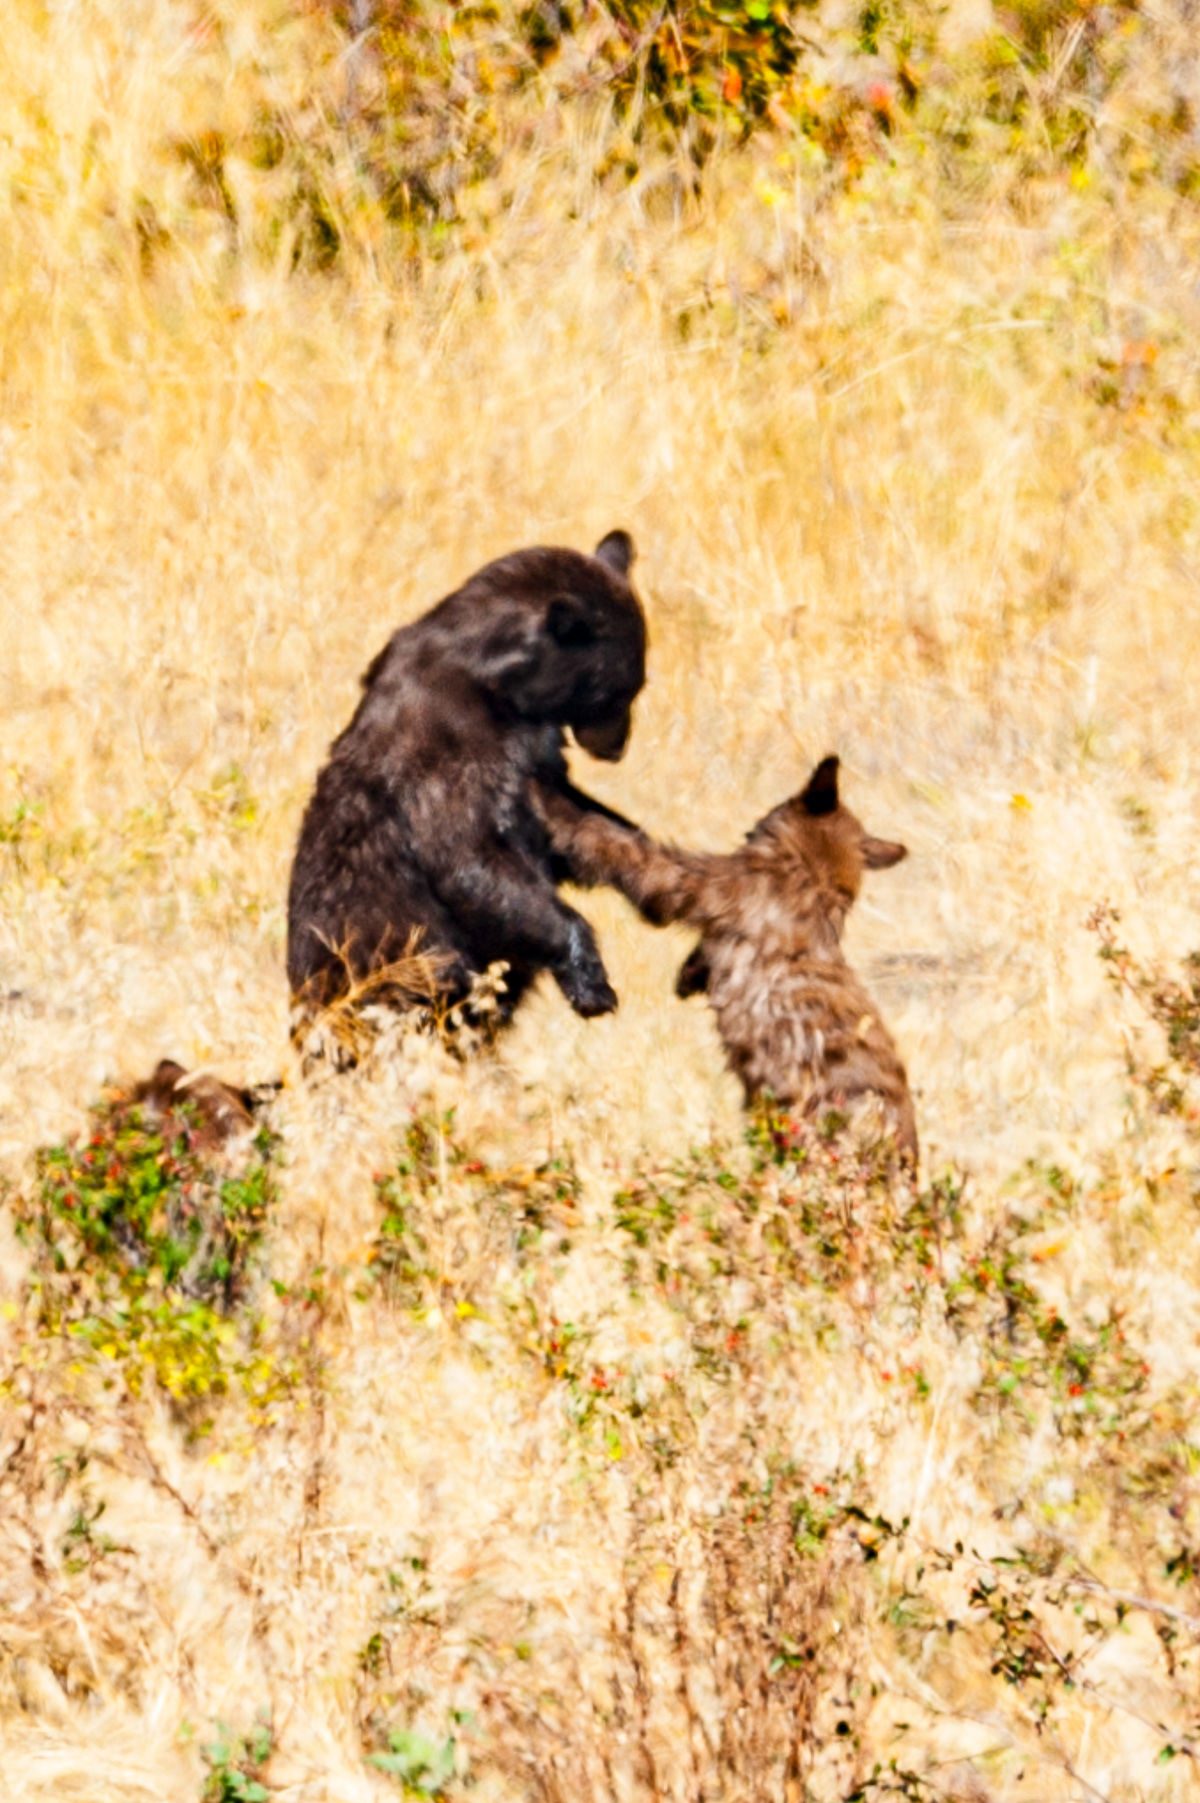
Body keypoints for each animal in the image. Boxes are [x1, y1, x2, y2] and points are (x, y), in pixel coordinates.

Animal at [286, 530, 647, 1034]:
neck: (499, 685)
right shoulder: (449, 746)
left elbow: (568, 815)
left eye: (633, 686)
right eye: (614, 692)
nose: (617, 747)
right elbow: (470, 857)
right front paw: (592, 982)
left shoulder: (535, 754)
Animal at [534, 755, 918, 1160]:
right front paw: (686, 978)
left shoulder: (716, 884)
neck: (814, 882)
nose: (753, 825)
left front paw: (542, 797)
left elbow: (628, 853)